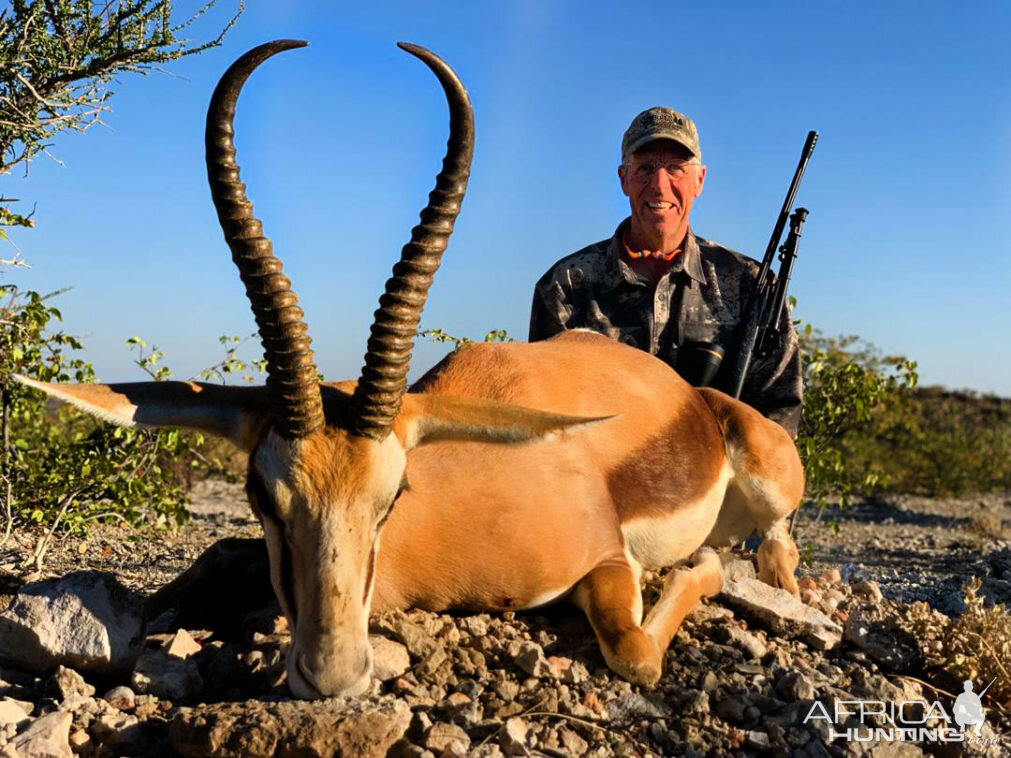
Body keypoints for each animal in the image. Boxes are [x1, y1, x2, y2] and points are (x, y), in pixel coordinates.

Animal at [17, 41, 804, 699]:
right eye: (262, 496)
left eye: (392, 496)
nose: (331, 675)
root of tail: (699, 401)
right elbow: (211, 557)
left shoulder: (606, 559)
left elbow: (636, 649)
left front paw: (696, 568)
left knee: (775, 546)